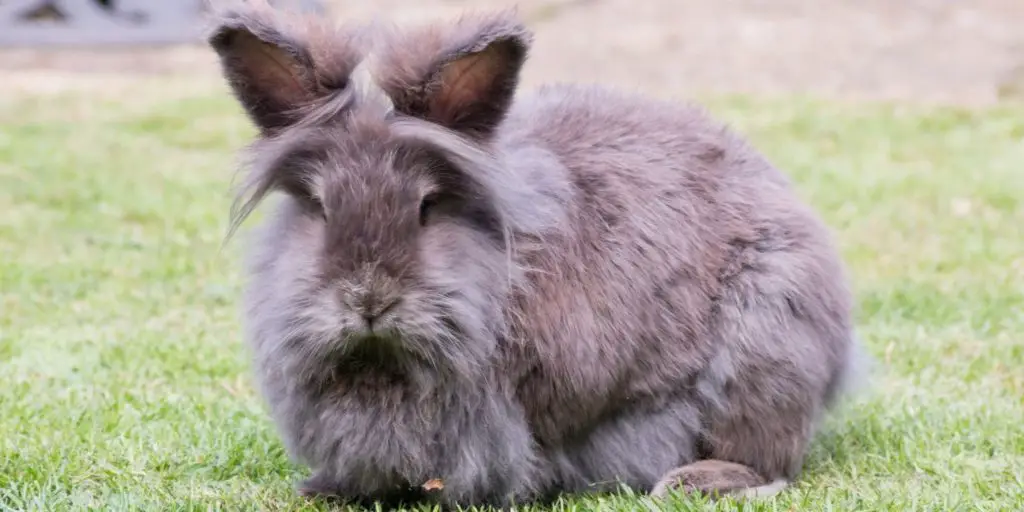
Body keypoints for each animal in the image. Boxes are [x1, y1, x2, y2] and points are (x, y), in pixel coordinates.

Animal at [207, 2, 864, 507]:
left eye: (427, 206)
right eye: (319, 207)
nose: (369, 299)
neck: (383, 365)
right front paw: (324, 488)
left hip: (769, 349)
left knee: (768, 458)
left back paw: (693, 482)